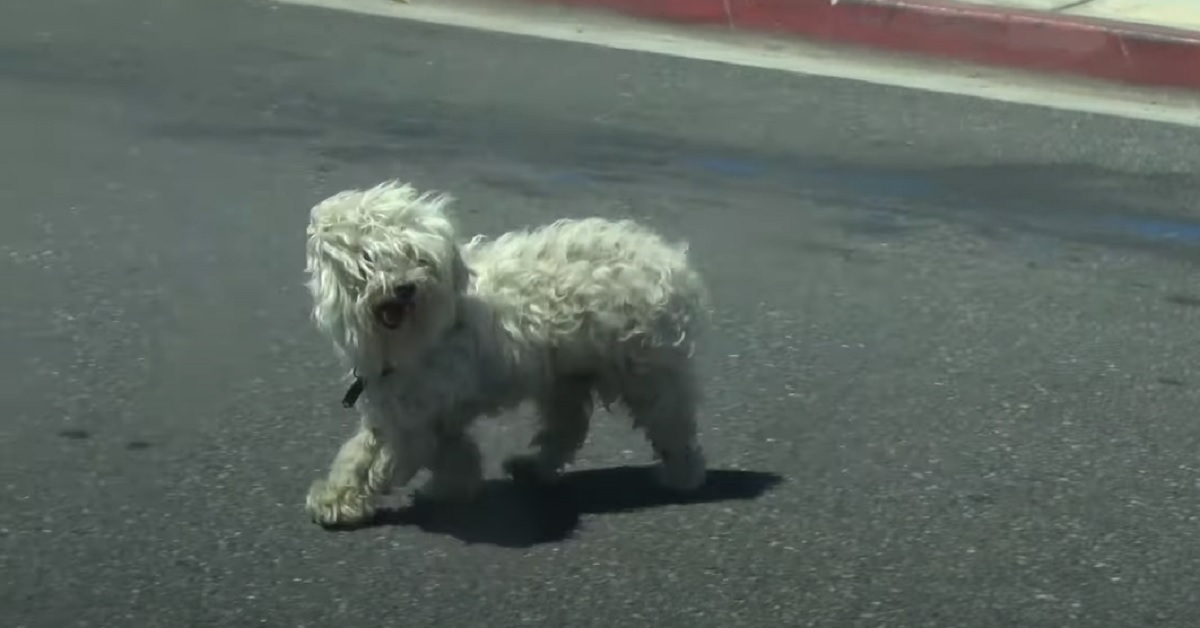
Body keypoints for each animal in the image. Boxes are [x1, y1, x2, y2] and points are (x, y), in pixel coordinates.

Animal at [302, 178, 710, 528]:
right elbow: (426, 449)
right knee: (568, 426)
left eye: (418, 258)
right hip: (566, 375)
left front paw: (337, 501)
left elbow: (373, 460)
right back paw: (534, 467)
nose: (405, 288)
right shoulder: (419, 406)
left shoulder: (411, 413)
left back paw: (683, 475)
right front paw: (456, 484)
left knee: (671, 422)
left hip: (645, 371)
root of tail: (671, 259)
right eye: (369, 258)